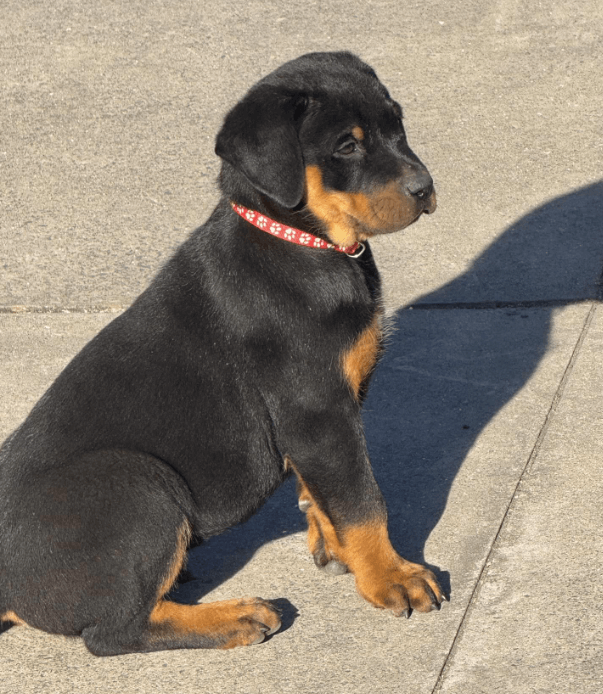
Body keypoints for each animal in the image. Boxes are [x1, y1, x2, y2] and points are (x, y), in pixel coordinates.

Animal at [0, 51, 444, 656]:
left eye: (398, 126)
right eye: (346, 147)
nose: (426, 188)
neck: (298, 240)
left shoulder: (317, 418)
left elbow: (324, 489)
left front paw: (331, 545)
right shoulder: (317, 407)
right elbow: (362, 500)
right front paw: (390, 576)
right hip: (138, 482)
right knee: (113, 632)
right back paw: (236, 616)